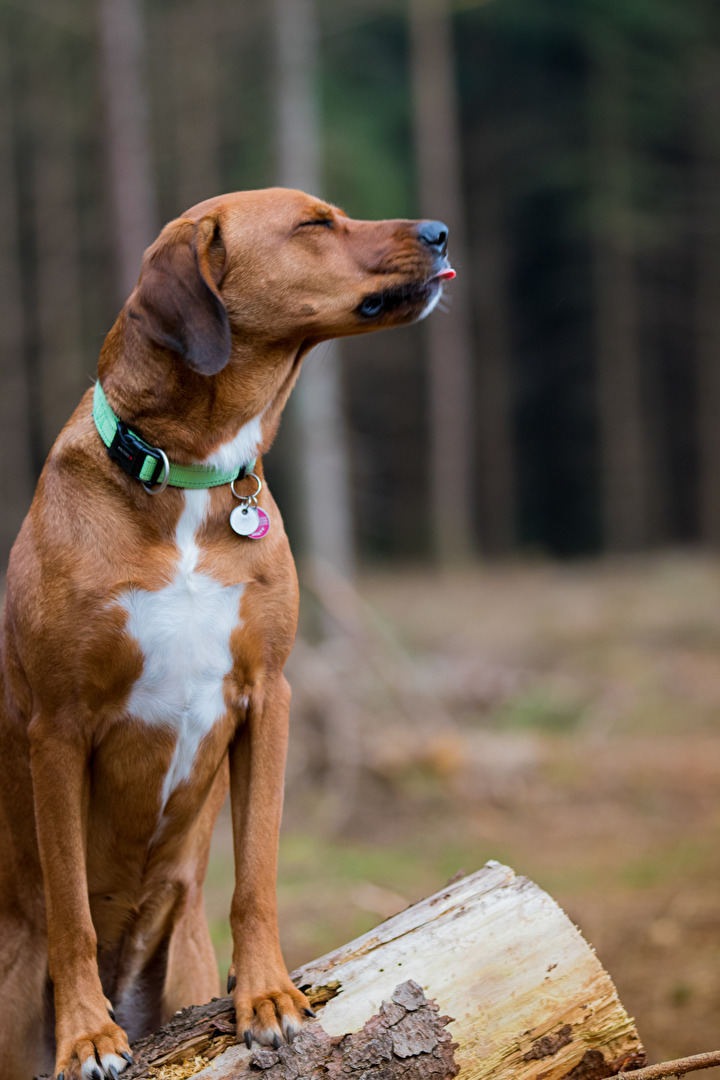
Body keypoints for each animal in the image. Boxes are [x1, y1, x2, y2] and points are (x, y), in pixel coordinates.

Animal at [0, 190, 453, 1075]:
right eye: (314, 224)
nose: (441, 233)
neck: (185, 475)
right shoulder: (57, 729)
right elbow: (70, 905)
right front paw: (86, 1033)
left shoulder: (265, 697)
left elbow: (257, 874)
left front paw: (268, 996)